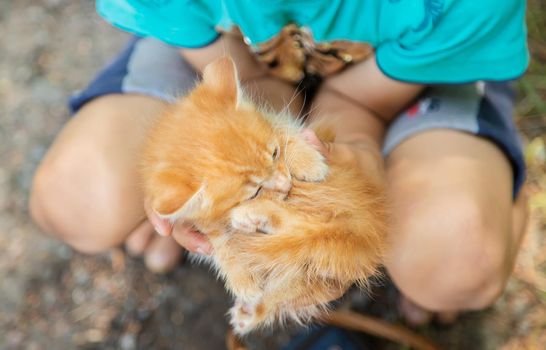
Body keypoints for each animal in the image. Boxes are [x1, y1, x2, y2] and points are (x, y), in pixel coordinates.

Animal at [140, 58, 386, 336]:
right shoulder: (201, 222)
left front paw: (308, 160)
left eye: (275, 153)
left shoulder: (280, 121)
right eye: (254, 191)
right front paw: (239, 276)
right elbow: (218, 242)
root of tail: (367, 226)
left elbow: (286, 133)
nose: (286, 185)